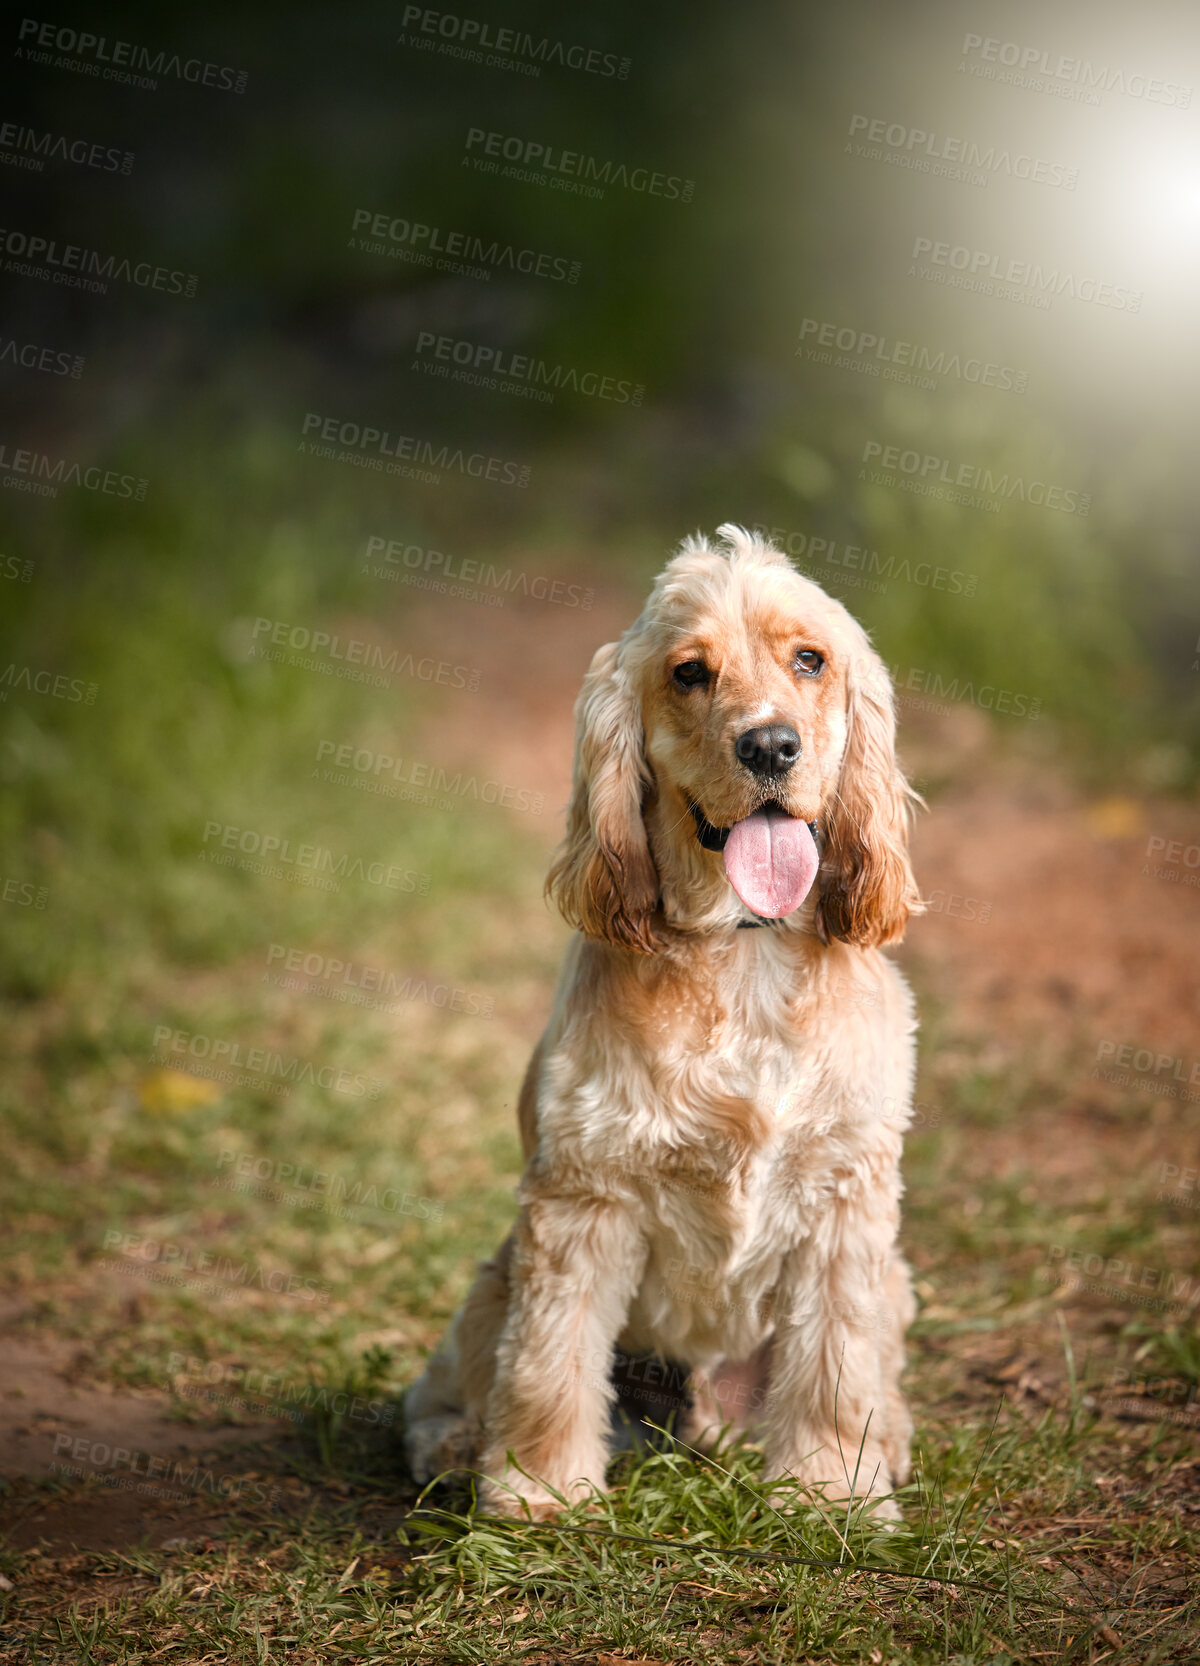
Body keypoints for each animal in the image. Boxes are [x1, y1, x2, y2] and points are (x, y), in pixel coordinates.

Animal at [408, 526, 926, 1519]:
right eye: (690, 673)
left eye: (810, 660)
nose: (770, 746)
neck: (746, 954)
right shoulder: (585, 1198)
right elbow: (549, 1363)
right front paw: (538, 1494)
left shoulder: (847, 1203)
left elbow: (835, 1366)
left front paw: (830, 1493)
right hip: (494, 1280)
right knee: (456, 1381)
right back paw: (453, 1445)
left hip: (894, 1283)